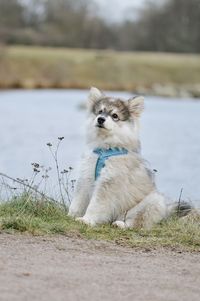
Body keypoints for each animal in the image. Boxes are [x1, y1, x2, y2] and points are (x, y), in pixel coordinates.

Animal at [68, 88, 188, 229]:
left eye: (115, 116)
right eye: (100, 111)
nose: (100, 119)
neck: (105, 149)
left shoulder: (108, 182)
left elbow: (95, 205)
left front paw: (87, 220)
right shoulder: (86, 176)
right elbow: (78, 201)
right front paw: (70, 216)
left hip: (152, 201)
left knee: (138, 223)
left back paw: (121, 224)